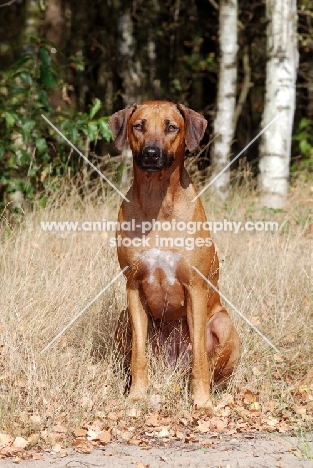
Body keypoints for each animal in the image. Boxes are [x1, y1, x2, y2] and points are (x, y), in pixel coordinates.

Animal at [108, 99, 240, 410]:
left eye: (171, 127)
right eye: (139, 125)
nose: (151, 153)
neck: (158, 200)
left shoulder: (195, 286)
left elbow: (201, 358)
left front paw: (202, 402)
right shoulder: (133, 286)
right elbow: (138, 354)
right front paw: (136, 395)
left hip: (225, 324)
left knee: (211, 366)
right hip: (123, 317)